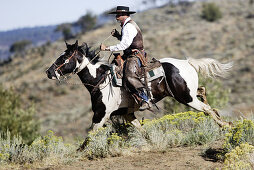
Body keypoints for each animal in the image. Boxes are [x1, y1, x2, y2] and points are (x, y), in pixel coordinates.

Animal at [46, 40, 233, 149]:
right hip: (190, 94)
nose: (49, 72)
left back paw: (226, 124)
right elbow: (142, 131)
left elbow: (89, 137)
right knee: (203, 93)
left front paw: (79, 153)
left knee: (207, 109)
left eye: (64, 57)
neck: (100, 79)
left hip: (186, 97)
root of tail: (187, 62)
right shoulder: (127, 113)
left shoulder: (100, 114)